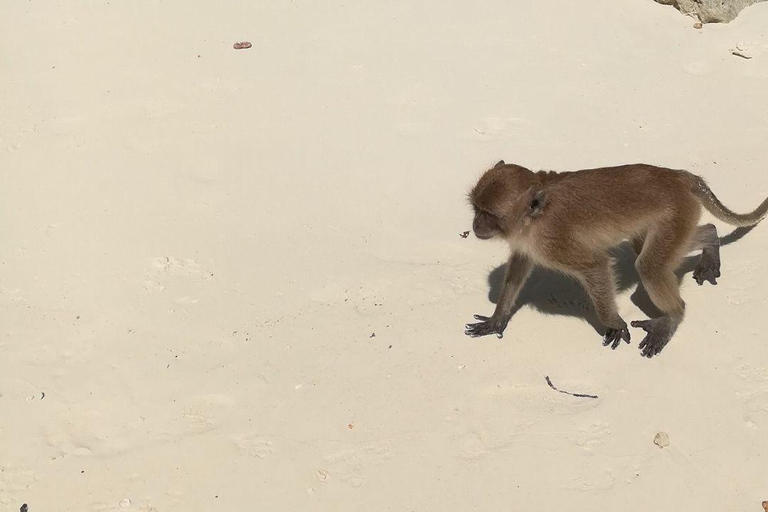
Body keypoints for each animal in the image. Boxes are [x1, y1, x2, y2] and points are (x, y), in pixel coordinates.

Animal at [464, 160, 764, 356]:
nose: (475, 225)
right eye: (476, 209)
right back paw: (711, 239)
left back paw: (672, 316)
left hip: (677, 212)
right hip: (678, 217)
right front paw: (497, 319)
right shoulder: (528, 244)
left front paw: (614, 324)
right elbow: (518, 270)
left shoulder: (553, 242)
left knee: (649, 266)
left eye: (489, 215)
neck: (533, 219)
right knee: (654, 247)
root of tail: (679, 176)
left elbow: (596, 266)